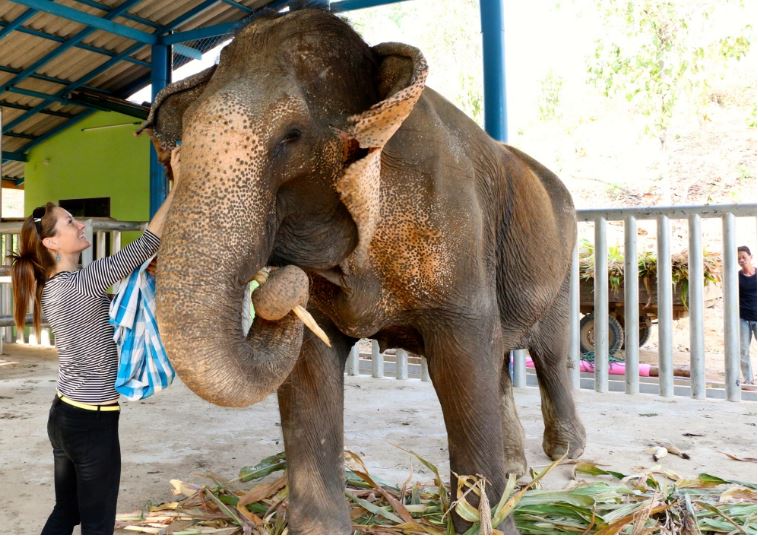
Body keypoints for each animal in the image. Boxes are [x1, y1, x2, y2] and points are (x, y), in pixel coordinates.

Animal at [141, 8, 586, 534]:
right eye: (184, 137)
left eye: (291, 137)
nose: (279, 285)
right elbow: (309, 365)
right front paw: (322, 529)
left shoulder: (455, 228)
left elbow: (462, 359)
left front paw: (487, 523)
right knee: (500, 360)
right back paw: (518, 472)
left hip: (563, 257)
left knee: (549, 353)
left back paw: (566, 461)